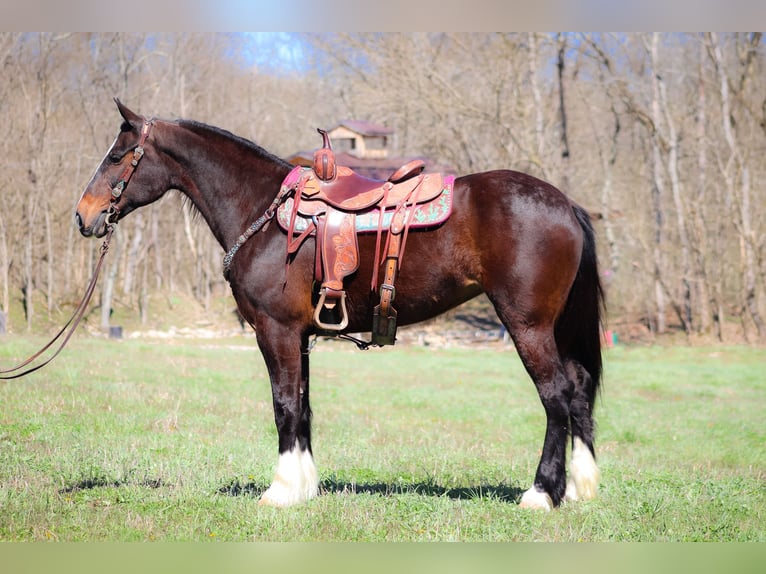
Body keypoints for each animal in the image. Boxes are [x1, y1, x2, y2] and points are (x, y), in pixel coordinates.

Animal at [76, 99, 608, 512]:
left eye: (119, 156)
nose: (83, 216)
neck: (262, 210)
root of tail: (566, 204)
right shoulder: (300, 336)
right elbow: (304, 407)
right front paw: (304, 486)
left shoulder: (276, 331)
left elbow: (284, 405)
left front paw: (281, 490)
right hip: (558, 327)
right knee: (580, 391)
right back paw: (578, 487)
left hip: (528, 324)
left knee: (556, 395)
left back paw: (542, 493)